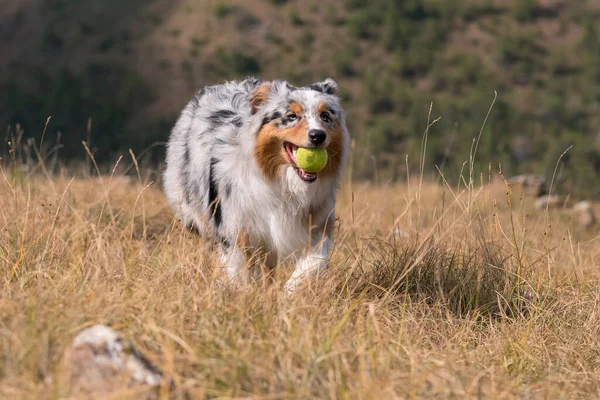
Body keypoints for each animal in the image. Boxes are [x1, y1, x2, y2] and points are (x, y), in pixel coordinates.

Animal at [164, 77, 352, 290]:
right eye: (292, 116)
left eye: (325, 116)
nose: (318, 135)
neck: (285, 184)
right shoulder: (234, 229)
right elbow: (235, 272)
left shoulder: (318, 226)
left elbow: (312, 266)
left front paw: (288, 292)